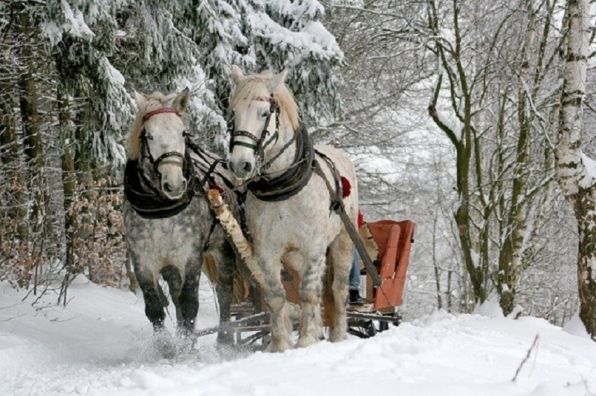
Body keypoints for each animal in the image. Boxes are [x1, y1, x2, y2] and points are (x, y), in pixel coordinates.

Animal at [123, 88, 235, 342]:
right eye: (149, 135)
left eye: (183, 133)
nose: (174, 184)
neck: (161, 210)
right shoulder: (142, 260)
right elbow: (155, 308)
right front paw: (167, 346)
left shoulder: (191, 256)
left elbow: (190, 303)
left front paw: (187, 346)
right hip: (170, 265)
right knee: (175, 296)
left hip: (222, 248)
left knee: (224, 290)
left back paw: (224, 340)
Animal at [228, 66, 358, 352]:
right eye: (233, 113)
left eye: (264, 113)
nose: (240, 164)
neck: (282, 186)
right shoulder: (266, 250)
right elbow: (277, 297)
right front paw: (281, 345)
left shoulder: (314, 246)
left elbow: (308, 293)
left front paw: (307, 339)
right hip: (296, 257)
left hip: (342, 240)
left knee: (337, 289)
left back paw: (338, 335)